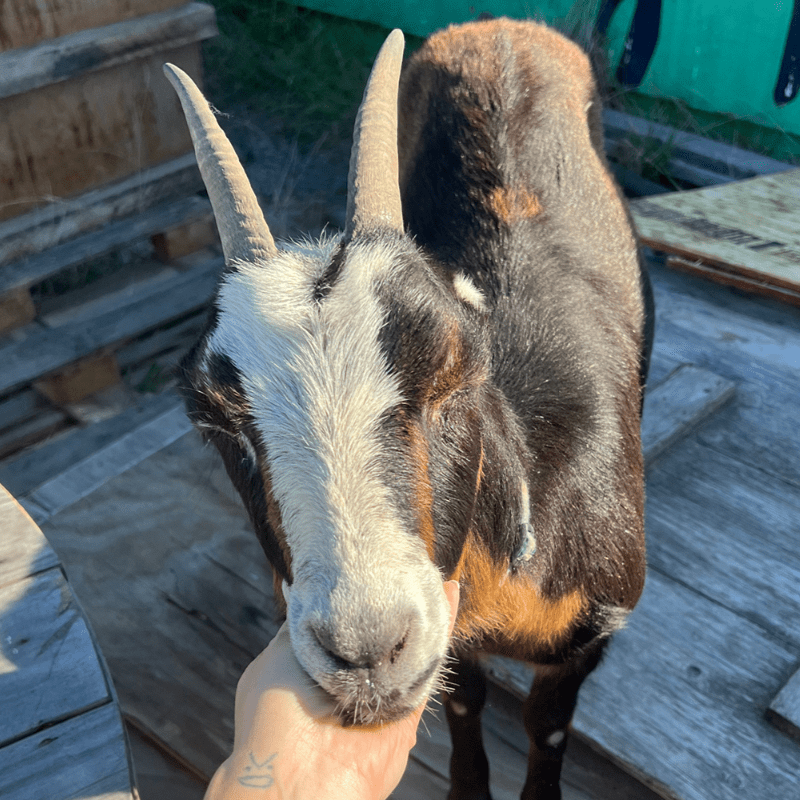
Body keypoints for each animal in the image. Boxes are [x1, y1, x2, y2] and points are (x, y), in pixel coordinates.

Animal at [166, 17, 650, 800]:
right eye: (215, 421)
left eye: (454, 376)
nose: (366, 653)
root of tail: (498, 28)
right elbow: (464, 697)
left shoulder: (590, 635)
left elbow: (546, 724)